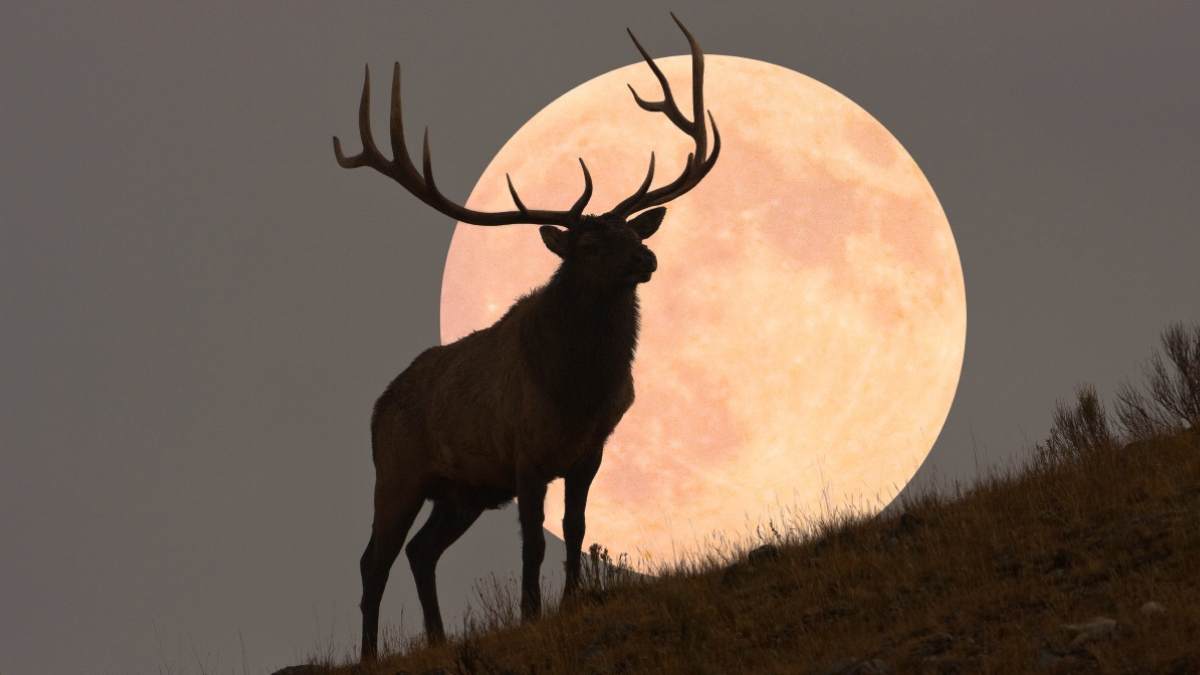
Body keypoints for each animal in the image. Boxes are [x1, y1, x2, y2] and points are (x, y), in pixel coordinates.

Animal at [332, 14, 719, 661]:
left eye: (630, 232)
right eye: (588, 244)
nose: (647, 258)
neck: (577, 391)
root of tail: (376, 407)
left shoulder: (589, 451)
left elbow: (576, 530)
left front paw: (569, 602)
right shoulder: (526, 454)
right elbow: (533, 545)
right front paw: (531, 613)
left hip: (460, 492)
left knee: (420, 551)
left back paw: (438, 638)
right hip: (397, 471)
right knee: (372, 561)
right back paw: (368, 655)